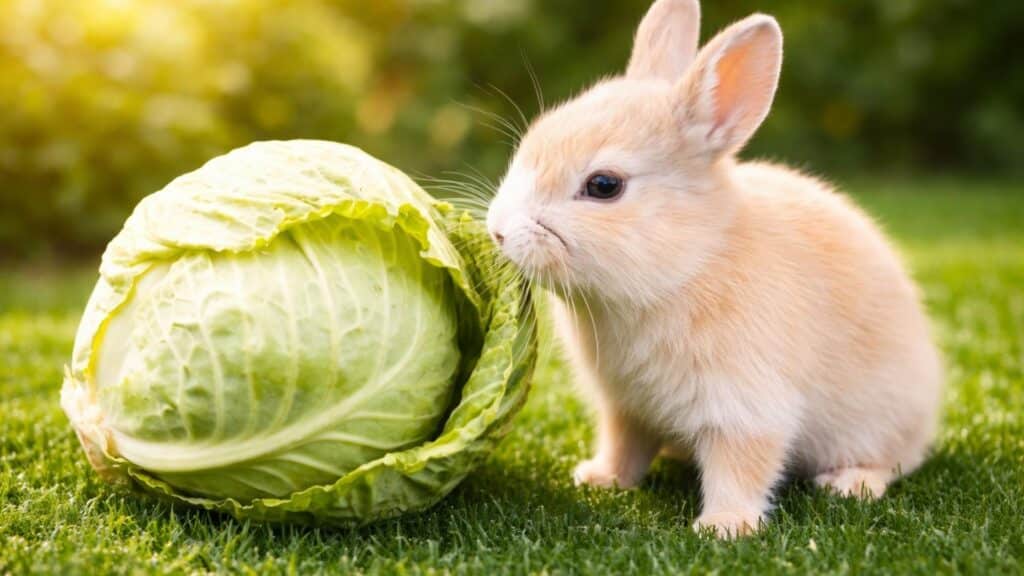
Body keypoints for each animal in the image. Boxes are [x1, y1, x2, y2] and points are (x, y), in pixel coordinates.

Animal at [485, 0, 943, 538]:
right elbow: (624, 446)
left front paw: (724, 526)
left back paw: (849, 483)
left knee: (891, 462)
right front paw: (600, 479)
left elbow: (740, 466)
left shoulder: (746, 406)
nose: (498, 230)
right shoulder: (626, 407)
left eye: (603, 185)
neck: (688, 264)